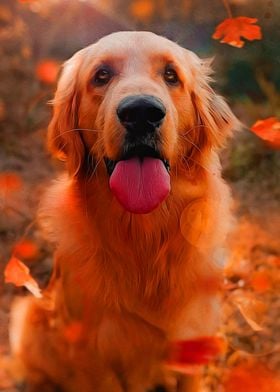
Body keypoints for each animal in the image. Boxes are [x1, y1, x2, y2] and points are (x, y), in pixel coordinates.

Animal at [10, 32, 238, 390]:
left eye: (171, 75)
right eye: (101, 75)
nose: (141, 112)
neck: (143, 236)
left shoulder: (192, 338)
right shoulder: (92, 353)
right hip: (31, 315)